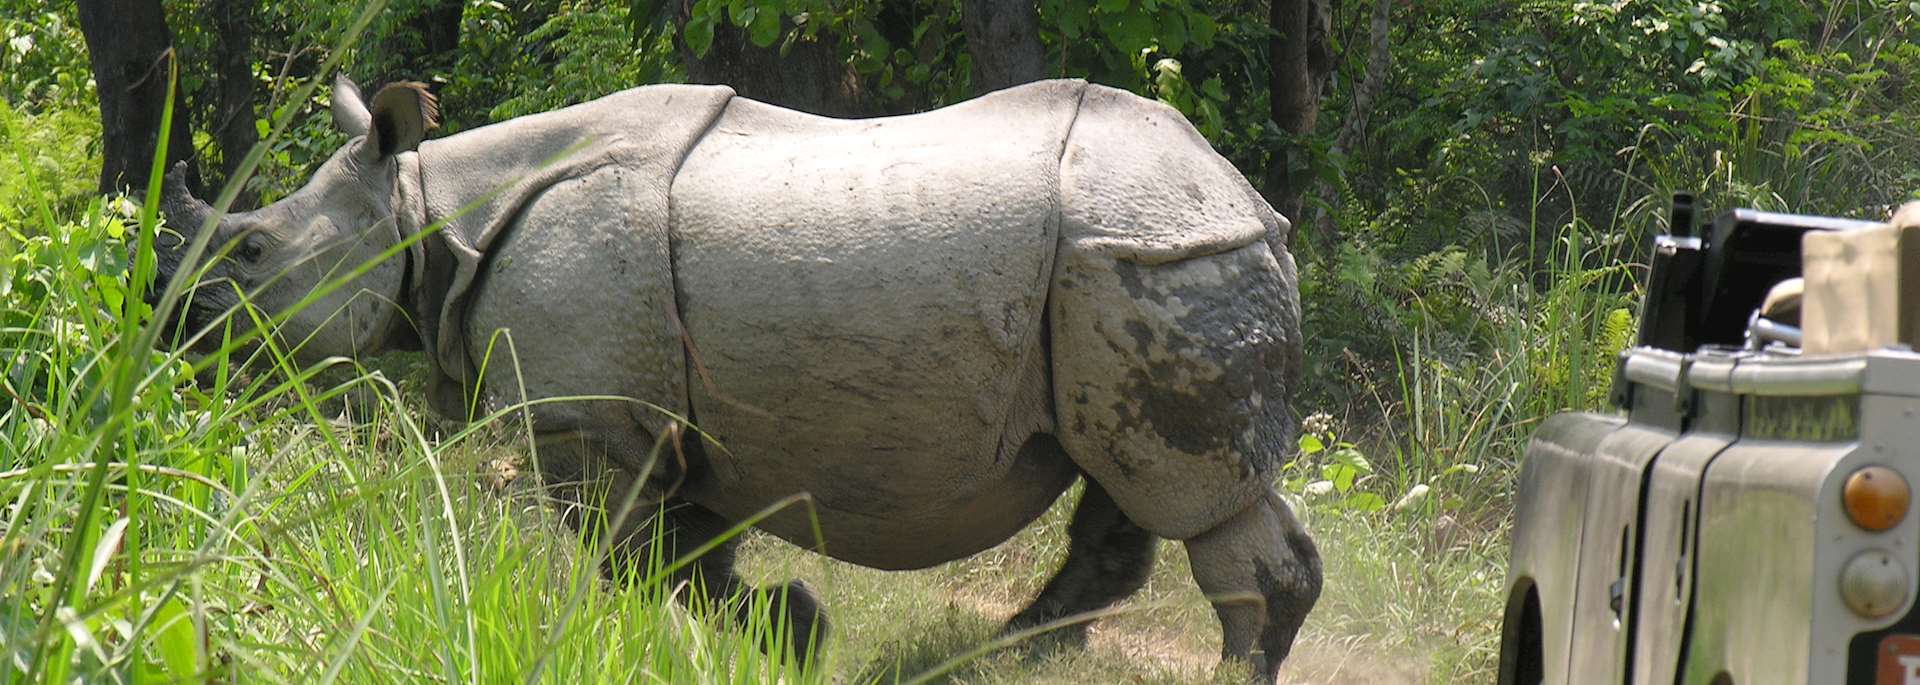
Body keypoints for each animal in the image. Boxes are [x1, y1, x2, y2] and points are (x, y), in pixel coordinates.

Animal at [151, 74, 1321, 681]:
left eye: (248, 253)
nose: (174, 337)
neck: (426, 209)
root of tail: (1245, 199)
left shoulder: (590, 420)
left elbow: (631, 559)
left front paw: (788, 628)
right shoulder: (666, 420)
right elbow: (682, 557)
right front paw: (794, 632)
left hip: (1152, 259)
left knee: (1191, 493)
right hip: (1121, 267)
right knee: (1121, 479)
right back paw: (1001, 656)